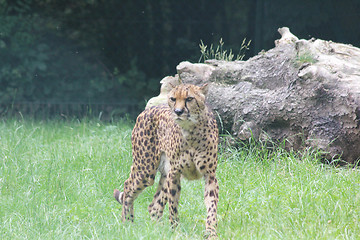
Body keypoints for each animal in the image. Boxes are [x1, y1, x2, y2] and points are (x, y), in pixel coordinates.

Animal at [114, 83, 219, 237]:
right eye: (173, 98)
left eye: (189, 98)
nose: (178, 111)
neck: (191, 131)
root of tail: (147, 110)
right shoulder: (174, 173)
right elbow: (173, 207)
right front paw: (176, 231)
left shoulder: (210, 175)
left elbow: (212, 206)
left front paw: (211, 232)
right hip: (146, 170)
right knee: (128, 186)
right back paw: (127, 222)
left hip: (164, 173)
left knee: (154, 206)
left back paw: (156, 230)